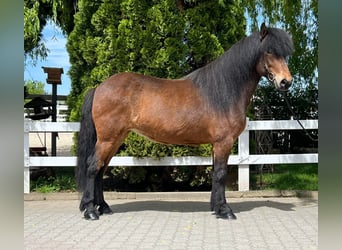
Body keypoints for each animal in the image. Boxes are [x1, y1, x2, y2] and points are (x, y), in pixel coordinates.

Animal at [76, 22, 292, 220]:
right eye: (269, 51)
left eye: (285, 54)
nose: (286, 82)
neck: (224, 90)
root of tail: (100, 87)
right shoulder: (224, 142)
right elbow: (221, 174)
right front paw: (225, 211)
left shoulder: (216, 144)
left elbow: (215, 173)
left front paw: (215, 207)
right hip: (108, 139)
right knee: (93, 167)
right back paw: (90, 211)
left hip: (116, 138)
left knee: (101, 169)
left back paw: (103, 207)